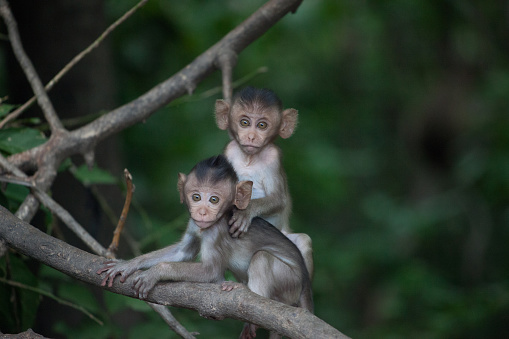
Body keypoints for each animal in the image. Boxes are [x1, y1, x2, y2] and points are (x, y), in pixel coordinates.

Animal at [95, 157, 310, 339]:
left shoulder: (216, 233)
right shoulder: (194, 224)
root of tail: (304, 282)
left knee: (262, 256)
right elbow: (183, 252)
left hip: (289, 280)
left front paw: (156, 272)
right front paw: (128, 264)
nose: (202, 212)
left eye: (214, 199)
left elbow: (211, 270)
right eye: (196, 197)